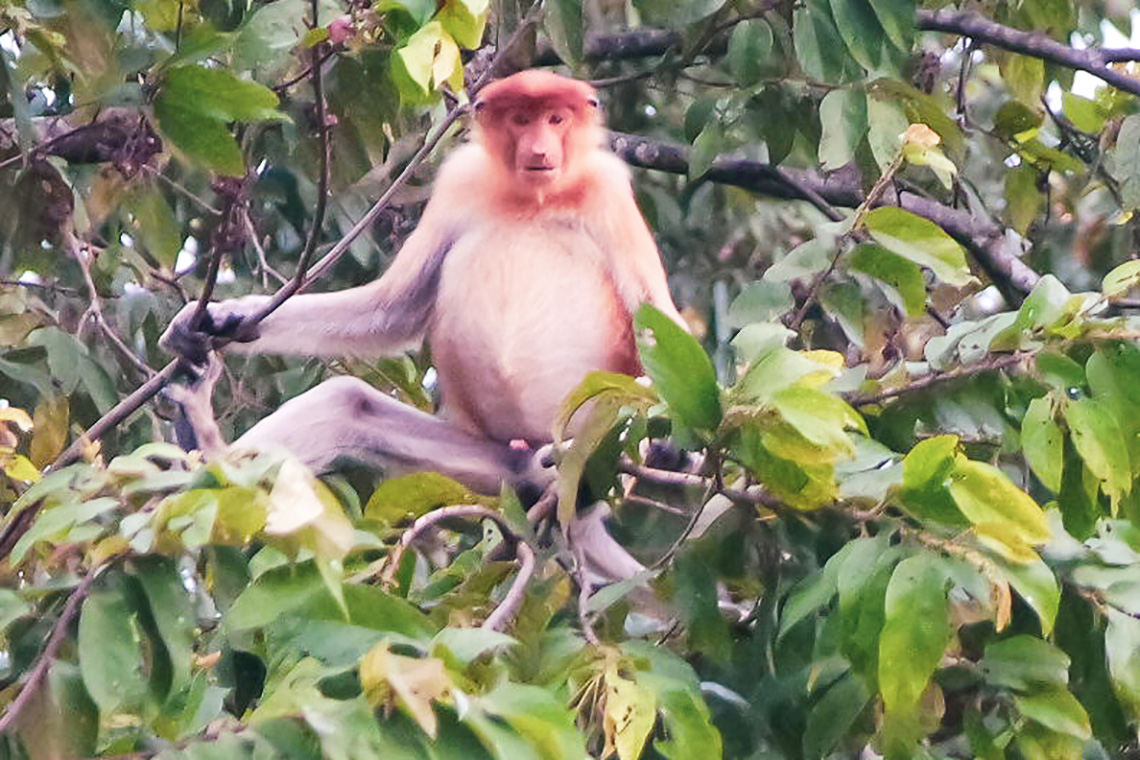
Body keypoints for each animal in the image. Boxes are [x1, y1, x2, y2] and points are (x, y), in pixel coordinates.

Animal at [166, 71, 684, 558]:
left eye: (556, 119)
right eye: (522, 119)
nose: (540, 149)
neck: (533, 199)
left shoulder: (607, 192)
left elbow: (656, 324)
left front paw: (673, 445)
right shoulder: (461, 180)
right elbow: (394, 308)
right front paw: (214, 319)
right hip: (497, 467)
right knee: (346, 403)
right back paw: (206, 452)